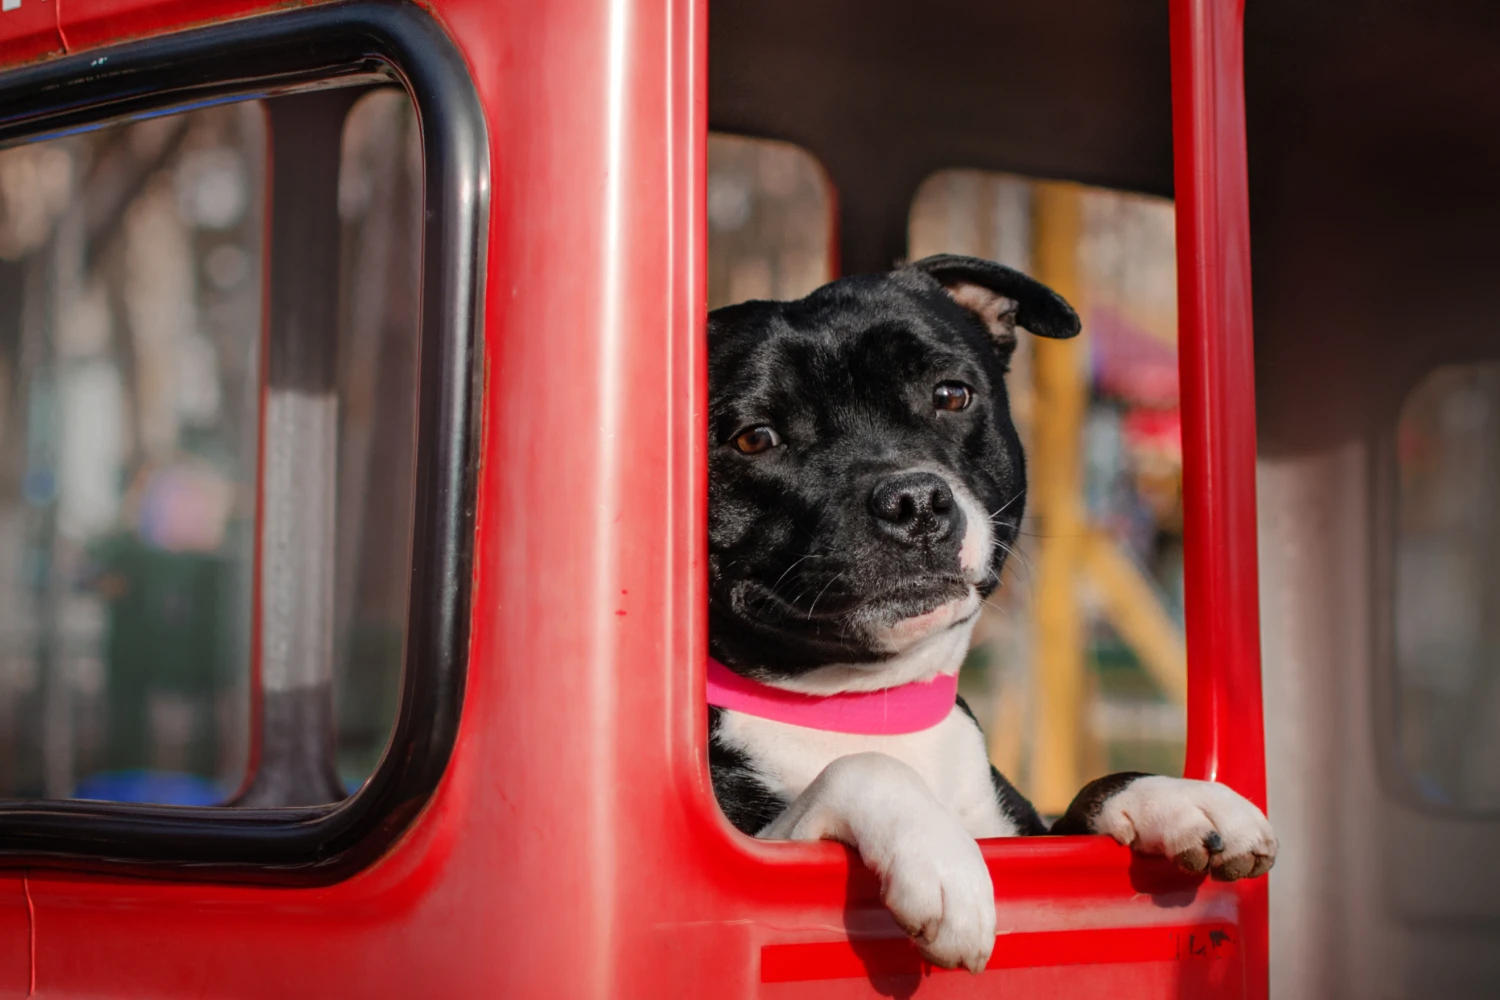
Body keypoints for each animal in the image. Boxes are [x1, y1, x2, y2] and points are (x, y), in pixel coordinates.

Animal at [708, 254, 1272, 971]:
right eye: (755, 439)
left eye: (951, 395)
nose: (914, 501)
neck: (863, 703)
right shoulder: (762, 851)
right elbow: (862, 768)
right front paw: (942, 858)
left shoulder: (1024, 831)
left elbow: (1079, 806)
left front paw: (1175, 796)